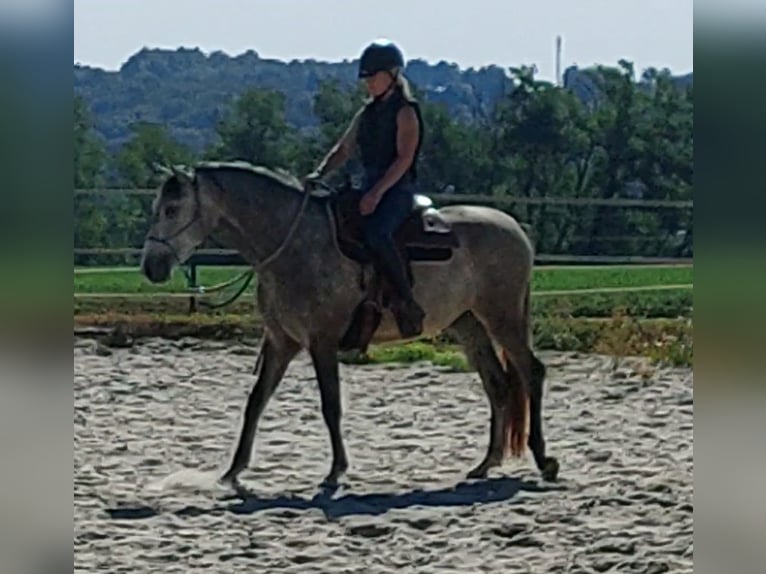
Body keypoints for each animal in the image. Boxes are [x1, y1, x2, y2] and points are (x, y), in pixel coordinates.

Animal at [141, 163, 560, 490]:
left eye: (173, 208)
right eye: (157, 207)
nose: (151, 267)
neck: (293, 243)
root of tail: (513, 227)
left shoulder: (321, 342)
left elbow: (331, 406)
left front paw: (335, 471)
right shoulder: (280, 341)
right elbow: (256, 402)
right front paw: (232, 471)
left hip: (503, 317)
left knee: (531, 372)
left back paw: (544, 460)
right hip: (469, 324)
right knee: (499, 385)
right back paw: (486, 464)